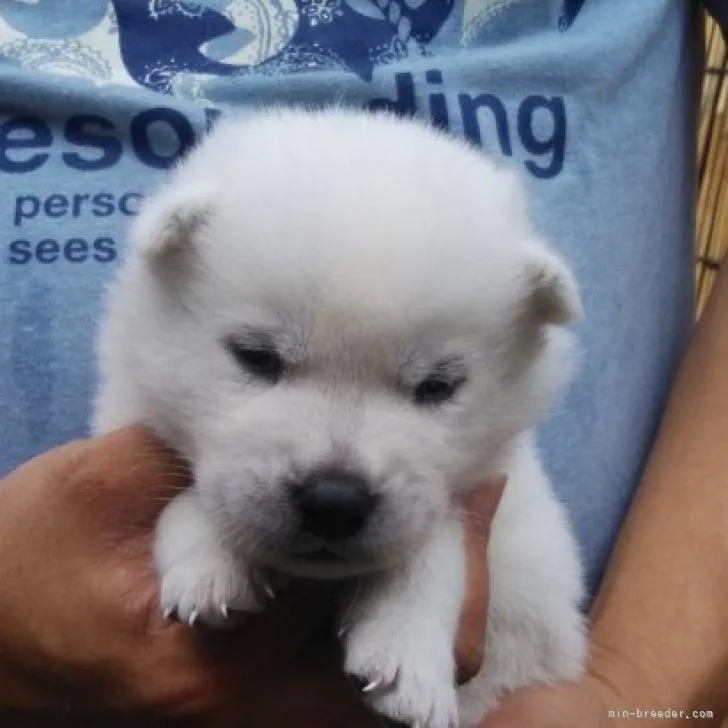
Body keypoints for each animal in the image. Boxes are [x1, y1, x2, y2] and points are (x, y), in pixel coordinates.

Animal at [95, 108, 584, 728]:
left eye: (438, 386)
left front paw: (409, 663)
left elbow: (433, 550)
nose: (334, 502)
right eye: (256, 356)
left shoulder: (490, 498)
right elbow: (192, 494)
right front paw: (210, 563)